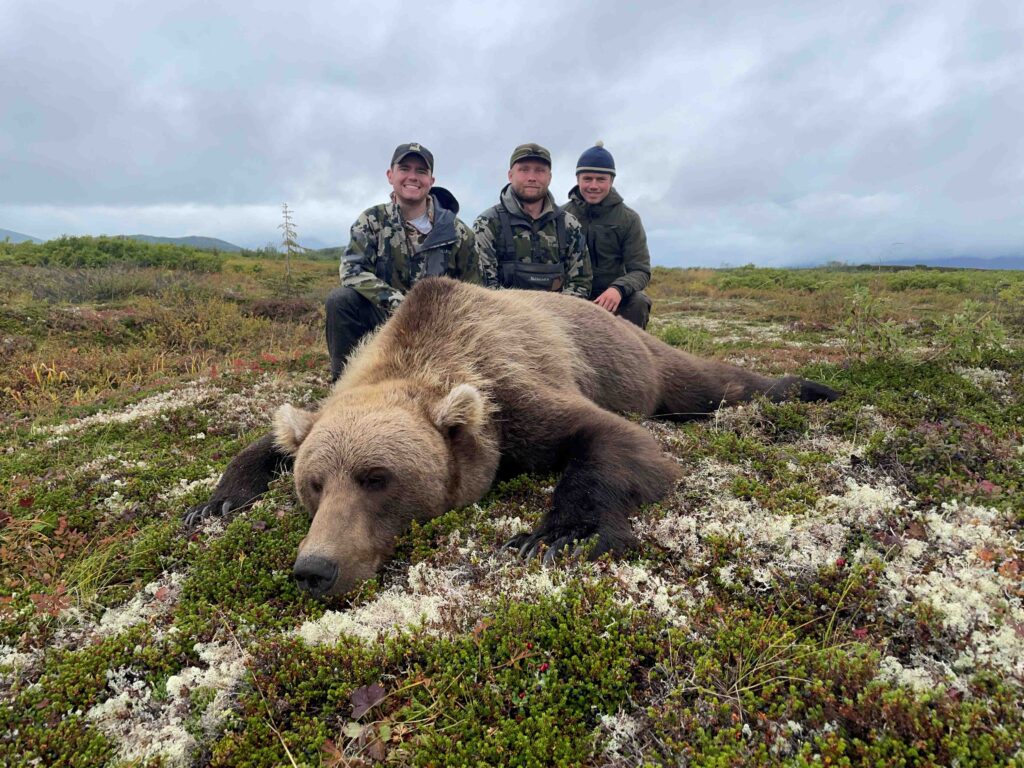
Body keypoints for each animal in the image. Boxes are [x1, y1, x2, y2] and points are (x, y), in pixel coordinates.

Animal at [185, 277, 838, 598]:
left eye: (377, 478)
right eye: (315, 485)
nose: (315, 569)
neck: (421, 348)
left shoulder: (512, 394)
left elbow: (614, 440)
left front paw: (554, 536)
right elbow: (269, 440)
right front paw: (213, 502)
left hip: (640, 362)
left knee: (712, 383)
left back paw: (810, 386)